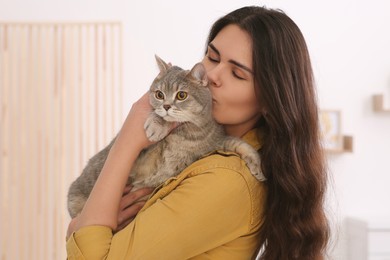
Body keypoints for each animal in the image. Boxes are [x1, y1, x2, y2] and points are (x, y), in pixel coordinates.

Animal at [67, 55, 266, 218]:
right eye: (159, 94)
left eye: (181, 95)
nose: (167, 106)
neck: (187, 135)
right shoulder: (140, 156)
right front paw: (157, 124)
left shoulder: (215, 142)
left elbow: (239, 143)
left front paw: (257, 167)